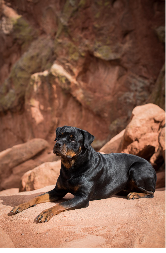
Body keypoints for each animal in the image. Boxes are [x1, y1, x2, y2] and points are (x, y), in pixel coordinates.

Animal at [8, 125, 157, 222]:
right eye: (59, 137)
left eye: (73, 139)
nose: (57, 144)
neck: (71, 167)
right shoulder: (57, 191)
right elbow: (37, 197)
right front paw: (20, 206)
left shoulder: (83, 197)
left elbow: (61, 204)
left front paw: (45, 212)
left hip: (136, 169)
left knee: (151, 193)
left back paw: (135, 194)